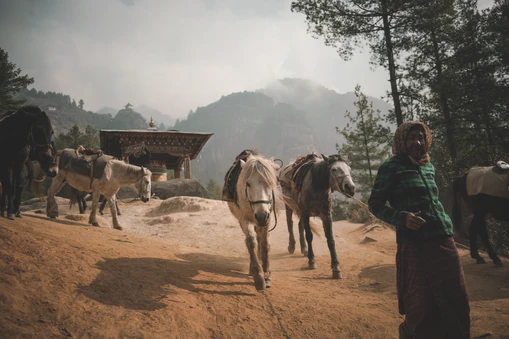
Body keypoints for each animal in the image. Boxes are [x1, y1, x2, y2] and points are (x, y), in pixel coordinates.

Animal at [222, 151, 282, 292]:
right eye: (248, 184)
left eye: (270, 183)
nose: (261, 216)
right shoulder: (244, 219)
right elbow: (250, 241)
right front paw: (258, 276)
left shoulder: (267, 219)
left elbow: (264, 244)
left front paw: (266, 274)